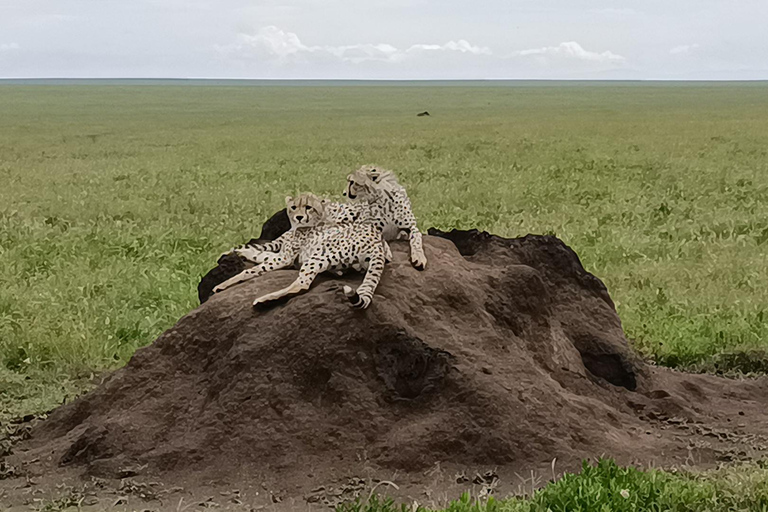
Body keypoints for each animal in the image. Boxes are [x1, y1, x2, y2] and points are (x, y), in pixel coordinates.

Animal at [213, 194, 388, 310]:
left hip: (318, 255)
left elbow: (250, 270)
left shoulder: (284, 259)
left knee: (302, 284)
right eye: (293, 207)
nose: (298, 217)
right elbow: (258, 254)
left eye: (308, 208)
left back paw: (264, 299)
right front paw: (238, 252)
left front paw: (222, 285)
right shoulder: (283, 256)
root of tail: (378, 241)